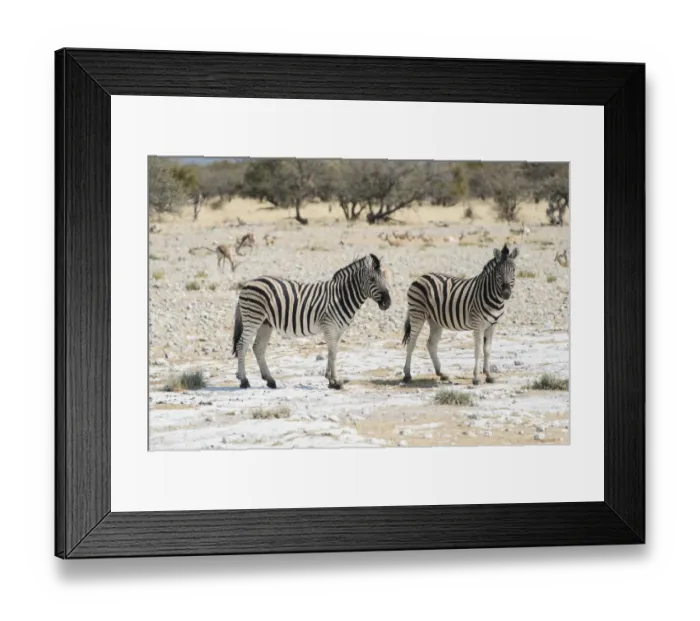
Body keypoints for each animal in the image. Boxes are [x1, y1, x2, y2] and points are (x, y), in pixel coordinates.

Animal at [232, 254, 392, 390]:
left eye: (385, 278)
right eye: (372, 279)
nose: (388, 303)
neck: (341, 297)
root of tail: (248, 283)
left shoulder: (338, 330)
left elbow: (332, 353)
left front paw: (330, 380)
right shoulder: (329, 326)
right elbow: (333, 353)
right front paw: (335, 381)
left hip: (265, 323)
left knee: (258, 348)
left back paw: (270, 380)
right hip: (253, 318)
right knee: (242, 345)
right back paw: (244, 380)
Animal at [402, 244, 520, 385]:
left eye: (513, 270)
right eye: (499, 273)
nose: (506, 293)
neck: (494, 299)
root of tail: (421, 277)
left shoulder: (492, 326)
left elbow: (487, 350)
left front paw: (489, 375)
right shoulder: (478, 324)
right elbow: (478, 350)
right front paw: (476, 377)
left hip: (435, 320)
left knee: (431, 344)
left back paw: (441, 373)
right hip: (417, 314)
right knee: (411, 343)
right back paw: (407, 375)